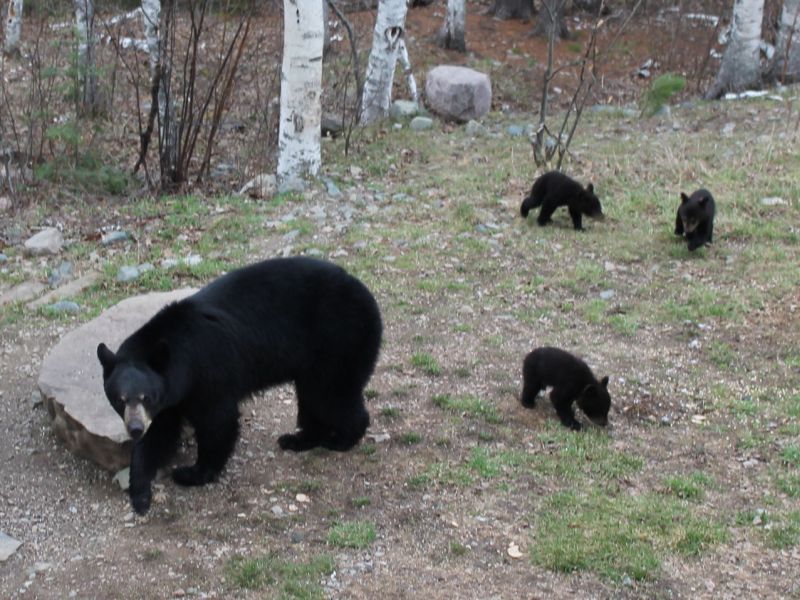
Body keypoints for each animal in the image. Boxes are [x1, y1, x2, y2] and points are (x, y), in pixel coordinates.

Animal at [97, 257, 382, 515]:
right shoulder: (171, 395)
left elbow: (217, 421)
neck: (180, 356)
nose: (134, 428)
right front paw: (140, 493)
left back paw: (341, 438)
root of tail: (367, 294)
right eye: (120, 399)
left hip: (338, 339)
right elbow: (158, 434)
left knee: (330, 395)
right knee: (312, 397)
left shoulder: (207, 372)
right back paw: (298, 439)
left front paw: (192, 473)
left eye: (146, 396)